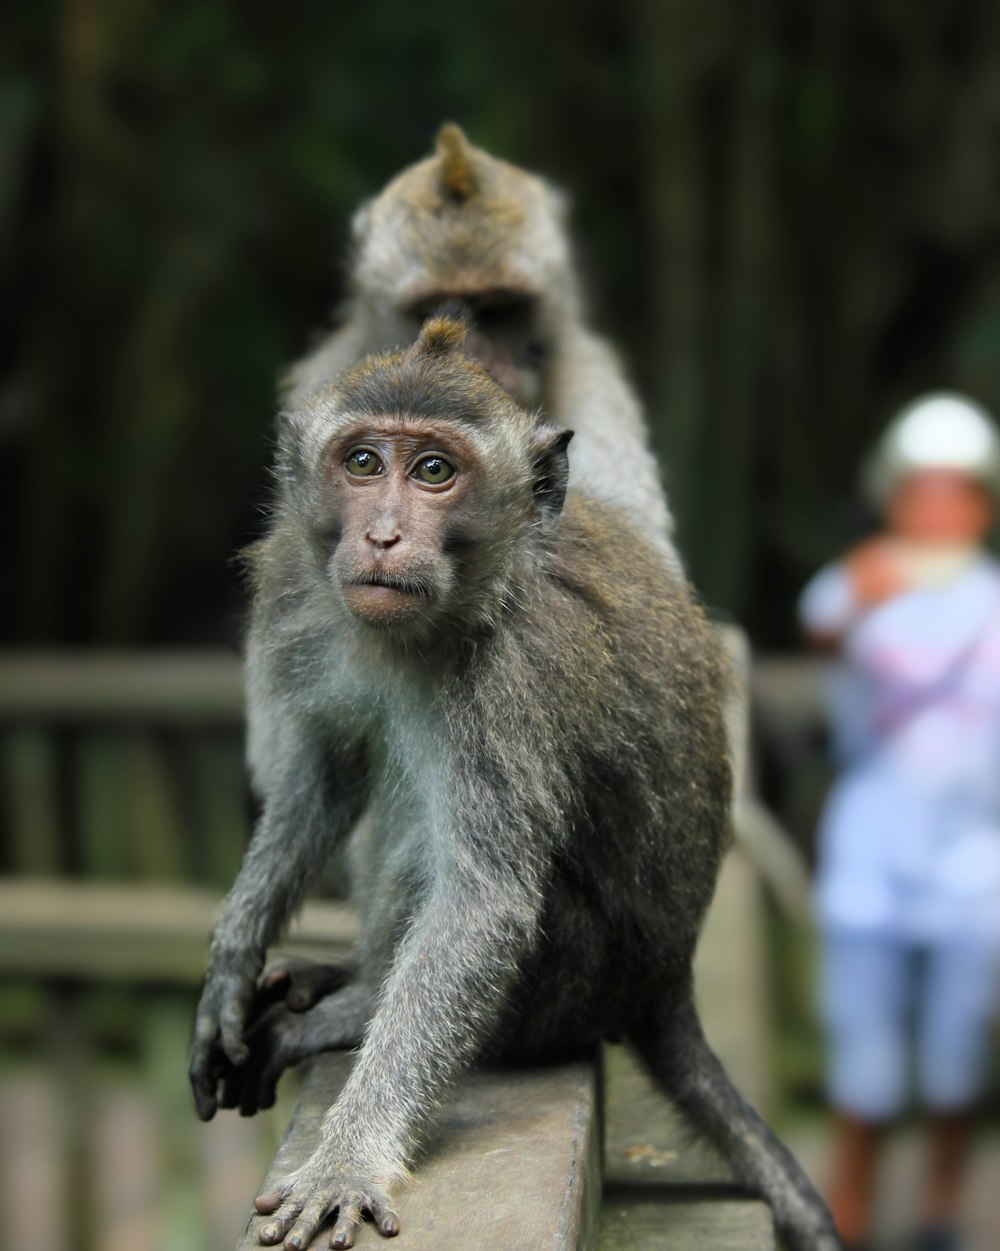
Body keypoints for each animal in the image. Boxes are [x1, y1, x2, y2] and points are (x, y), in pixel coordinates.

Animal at [190, 317, 846, 1245]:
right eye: (364, 462)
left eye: (435, 471)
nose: (382, 535)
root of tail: (664, 982)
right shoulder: (308, 604)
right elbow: (325, 773)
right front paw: (231, 960)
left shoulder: (516, 677)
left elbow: (484, 905)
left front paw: (348, 1155)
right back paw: (343, 976)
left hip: (570, 983)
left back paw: (354, 1007)